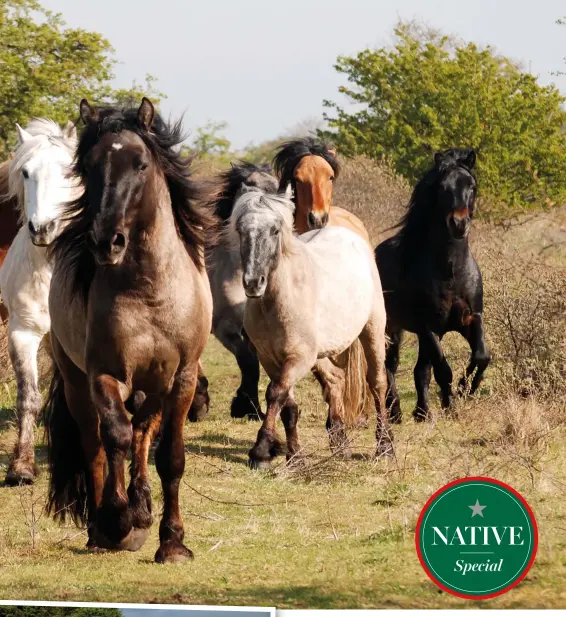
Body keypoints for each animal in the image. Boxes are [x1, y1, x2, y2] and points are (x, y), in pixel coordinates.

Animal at [43, 97, 213, 564]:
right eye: (89, 166)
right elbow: (113, 437)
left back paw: (142, 506)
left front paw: (172, 541)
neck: (149, 290)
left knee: (142, 432)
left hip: (154, 385)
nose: (107, 242)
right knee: (97, 444)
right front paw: (116, 521)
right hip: (76, 383)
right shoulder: (104, 375)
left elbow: (169, 456)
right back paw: (104, 527)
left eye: (140, 164)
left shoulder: (182, 378)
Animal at [227, 185, 394, 464]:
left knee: (377, 382)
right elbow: (287, 405)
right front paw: (294, 456)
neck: (276, 304)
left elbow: (275, 393)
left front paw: (261, 451)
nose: (252, 283)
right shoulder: (270, 359)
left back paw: (386, 446)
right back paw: (340, 442)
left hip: (372, 329)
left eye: (275, 230)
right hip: (322, 352)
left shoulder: (298, 358)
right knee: (336, 379)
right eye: (240, 230)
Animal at [374, 147, 490, 422]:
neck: (451, 272)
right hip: (391, 327)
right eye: (443, 188)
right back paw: (395, 412)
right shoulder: (429, 328)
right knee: (389, 365)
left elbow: (481, 356)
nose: (459, 224)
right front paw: (451, 403)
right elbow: (443, 369)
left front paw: (466, 389)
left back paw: (422, 411)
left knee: (419, 369)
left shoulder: (471, 319)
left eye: (472, 186)